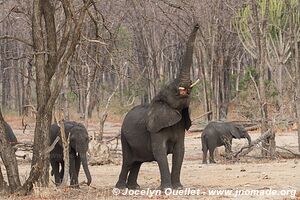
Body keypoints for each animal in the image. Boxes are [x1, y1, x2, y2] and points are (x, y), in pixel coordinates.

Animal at [115, 24, 199, 190]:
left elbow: (180, 151)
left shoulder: (180, 125)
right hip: (124, 137)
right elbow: (160, 152)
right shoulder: (155, 129)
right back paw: (121, 188)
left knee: (137, 162)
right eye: (171, 88)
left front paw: (178, 188)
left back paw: (135, 187)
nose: (197, 25)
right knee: (127, 162)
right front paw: (167, 189)